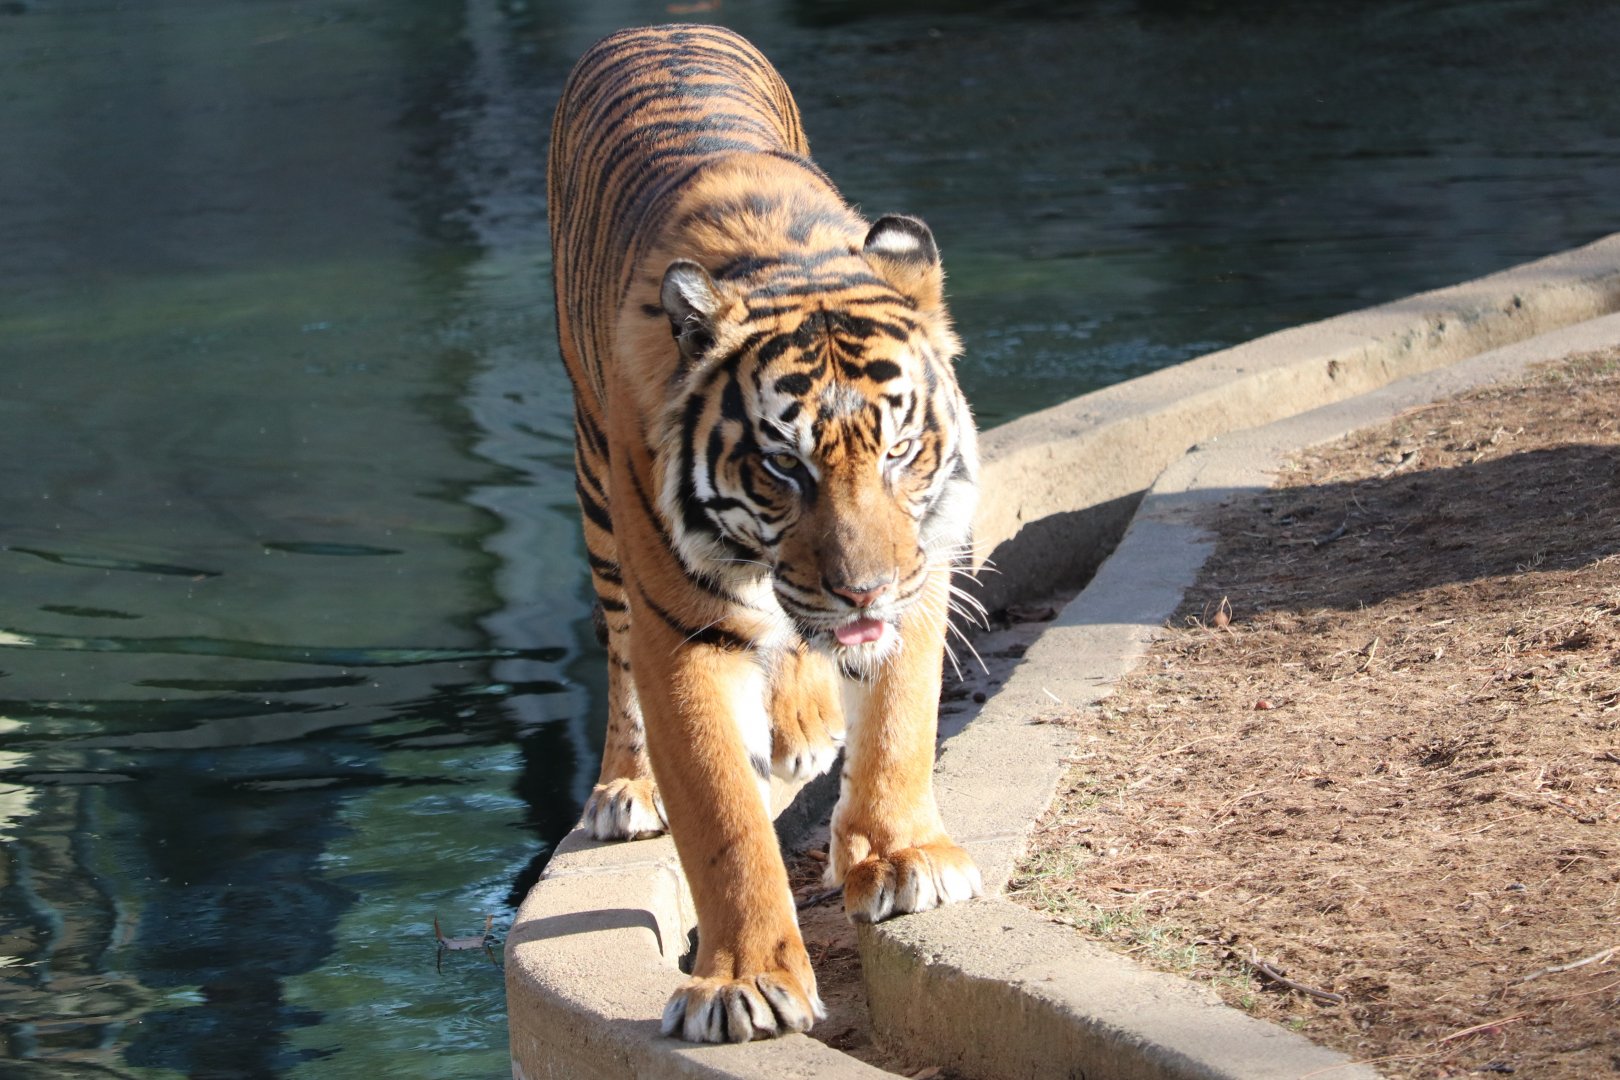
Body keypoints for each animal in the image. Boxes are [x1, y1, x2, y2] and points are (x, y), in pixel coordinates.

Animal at [548, 24, 982, 1043]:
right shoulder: (682, 630)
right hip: (594, 489)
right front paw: (743, 982)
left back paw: (806, 724)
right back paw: (626, 789)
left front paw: (902, 858)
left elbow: (898, 722)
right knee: (618, 650)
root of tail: (658, 26)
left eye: (899, 449)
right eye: (784, 466)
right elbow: (721, 815)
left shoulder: (923, 570)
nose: (864, 589)